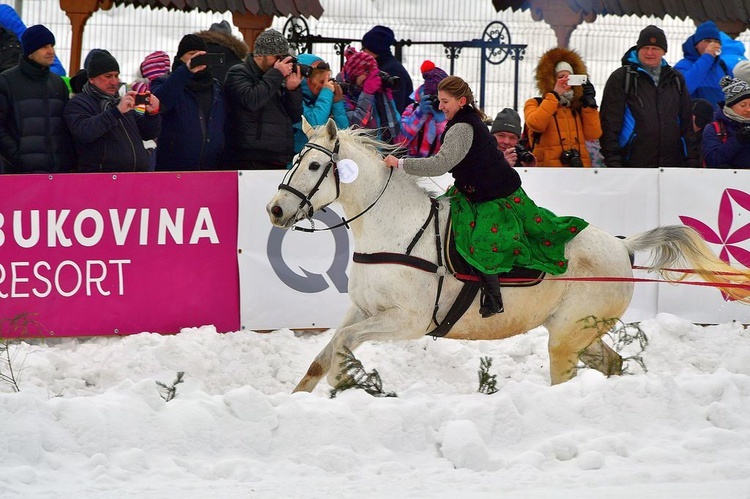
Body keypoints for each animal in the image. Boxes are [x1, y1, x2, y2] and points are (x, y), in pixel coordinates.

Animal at [268, 119, 750, 392]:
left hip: (567, 336)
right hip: (579, 331)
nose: (275, 210)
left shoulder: (407, 321)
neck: (396, 229)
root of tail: (622, 246)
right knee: (610, 362)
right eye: (294, 159)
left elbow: (343, 346)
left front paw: (342, 383)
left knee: (567, 374)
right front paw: (302, 397)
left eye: (315, 166)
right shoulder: (362, 309)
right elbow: (325, 351)